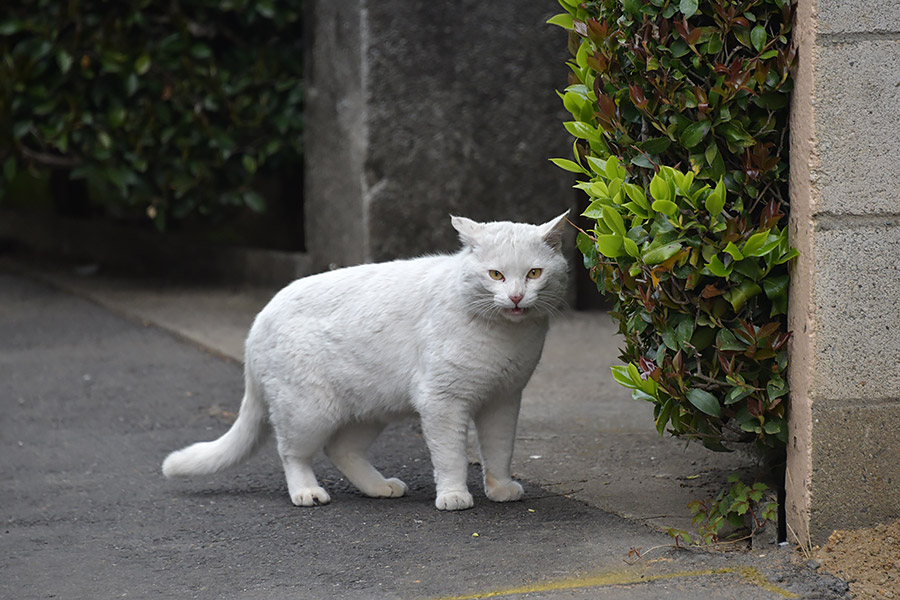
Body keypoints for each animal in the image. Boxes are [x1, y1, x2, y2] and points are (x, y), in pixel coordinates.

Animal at [163, 212, 568, 510]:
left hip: (371, 408)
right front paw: (454, 495)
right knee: (292, 452)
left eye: (534, 273)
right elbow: (450, 454)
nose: (516, 297)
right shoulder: (443, 402)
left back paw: (379, 487)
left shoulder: (504, 399)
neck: (506, 337)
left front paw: (500, 488)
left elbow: (499, 451)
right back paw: (306, 492)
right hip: (309, 411)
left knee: (340, 449)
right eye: (495, 275)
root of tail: (260, 319)